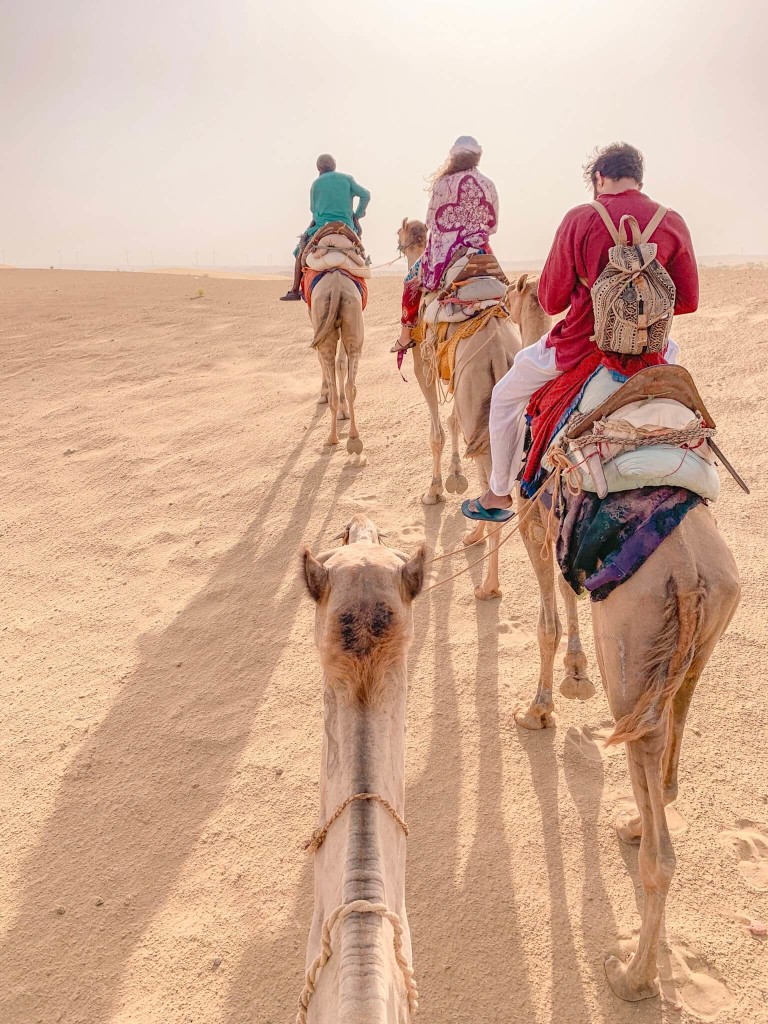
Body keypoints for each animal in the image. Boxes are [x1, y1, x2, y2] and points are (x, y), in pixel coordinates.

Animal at [311, 271, 365, 453]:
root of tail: (336, 284)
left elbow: (323, 359)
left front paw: (323, 393)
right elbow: (341, 363)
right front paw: (344, 412)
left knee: (325, 357)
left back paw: (331, 438)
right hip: (353, 315)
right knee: (350, 382)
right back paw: (353, 437)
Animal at [396, 217, 521, 599]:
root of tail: (497, 350)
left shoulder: (423, 363)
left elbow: (436, 430)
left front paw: (434, 491)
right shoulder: (451, 376)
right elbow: (451, 422)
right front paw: (454, 477)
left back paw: (488, 586)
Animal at [510, 287, 741, 1000]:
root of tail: (691, 576)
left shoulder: (531, 519)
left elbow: (547, 617)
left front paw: (538, 709)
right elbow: (566, 602)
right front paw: (572, 675)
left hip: (634, 654)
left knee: (663, 854)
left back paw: (632, 976)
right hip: (692, 649)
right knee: (667, 751)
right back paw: (637, 821)